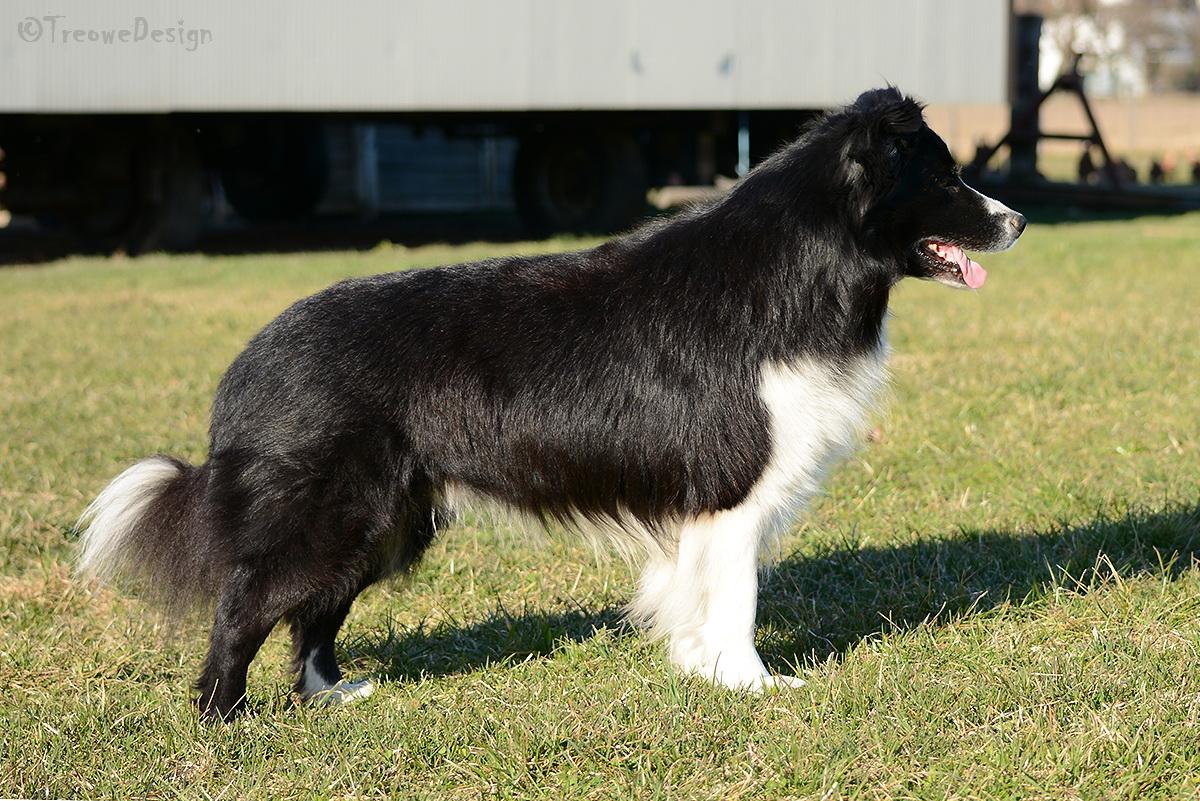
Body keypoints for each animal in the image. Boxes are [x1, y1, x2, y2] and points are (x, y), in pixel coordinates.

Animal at [79, 87, 1022, 719]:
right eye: (946, 177)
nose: (1015, 221)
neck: (809, 262)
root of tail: (248, 362)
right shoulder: (730, 487)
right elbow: (738, 595)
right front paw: (756, 685)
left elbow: (699, 595)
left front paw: (702, 672)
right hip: (328, 508)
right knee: (245, 601)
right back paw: (225, 719)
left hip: (385, 518)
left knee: (313, 611)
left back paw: (334, 696)